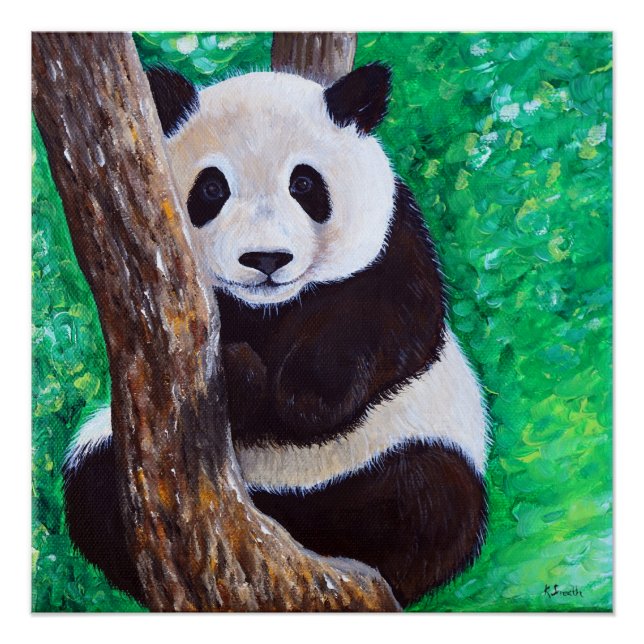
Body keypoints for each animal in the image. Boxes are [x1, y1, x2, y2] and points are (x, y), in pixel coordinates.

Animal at [62, 63, 489, 609]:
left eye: (304, 183)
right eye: (212, 188)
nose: (265, 259)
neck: (269, 310)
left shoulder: (394, 242)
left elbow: (391, 320)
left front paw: (297, 394)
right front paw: (238, 373)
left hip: (410, 441)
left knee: (426, 498)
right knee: (95, 485)